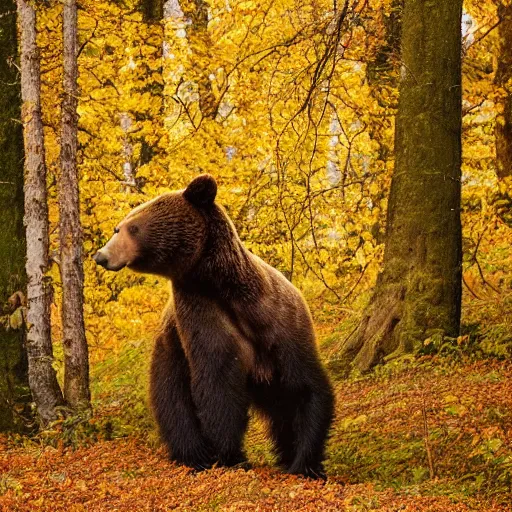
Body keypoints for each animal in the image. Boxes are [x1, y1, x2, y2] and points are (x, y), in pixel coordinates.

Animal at [93, 174, 334, 478]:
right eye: (118, 227)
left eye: (132, 228)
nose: (101, 255)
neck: (223, 287)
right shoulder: (200, 311)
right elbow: (217, 382)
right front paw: (228, 454)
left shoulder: (281, 320)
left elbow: (304, 387)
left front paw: (304, 462)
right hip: (170, 349)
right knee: (173, 401)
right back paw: (192, 455)